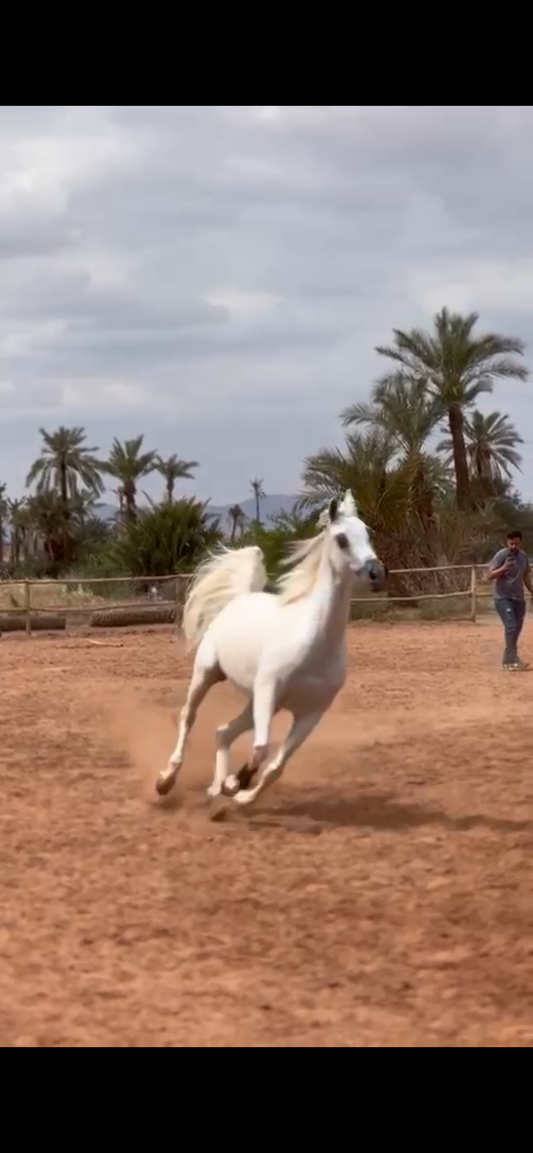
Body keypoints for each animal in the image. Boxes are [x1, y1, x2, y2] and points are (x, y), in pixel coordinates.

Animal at [156, 490, 387, 809]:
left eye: (368, 533)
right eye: (342, 539)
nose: (377, 573)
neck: (317, 642)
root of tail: (238, 599)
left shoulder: (310, 713)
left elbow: (276, 766)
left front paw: (240, 792)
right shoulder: (268, 690)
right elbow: (261, 748)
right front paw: (236, 783)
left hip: (257, 701)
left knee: (223, 732)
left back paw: (216, 788)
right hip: (207, 673)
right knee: (188, 717)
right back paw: (167, 780)